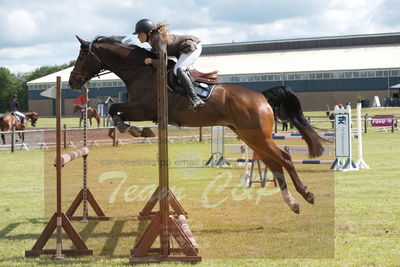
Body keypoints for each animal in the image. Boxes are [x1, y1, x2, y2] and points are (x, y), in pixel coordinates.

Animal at [68, 36, 324, 216]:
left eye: (81, 58)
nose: (72, 82)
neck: (140, 71)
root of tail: (260, 96)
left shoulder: (144, 109)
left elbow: (114, 109)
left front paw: (132, 129)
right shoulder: (139, 109)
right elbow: (115, 110)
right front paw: (136, 130)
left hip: (258, 136)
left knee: (285, 158)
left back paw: (306, 195)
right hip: (251, 137)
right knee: (274, 163)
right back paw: (292, 203)